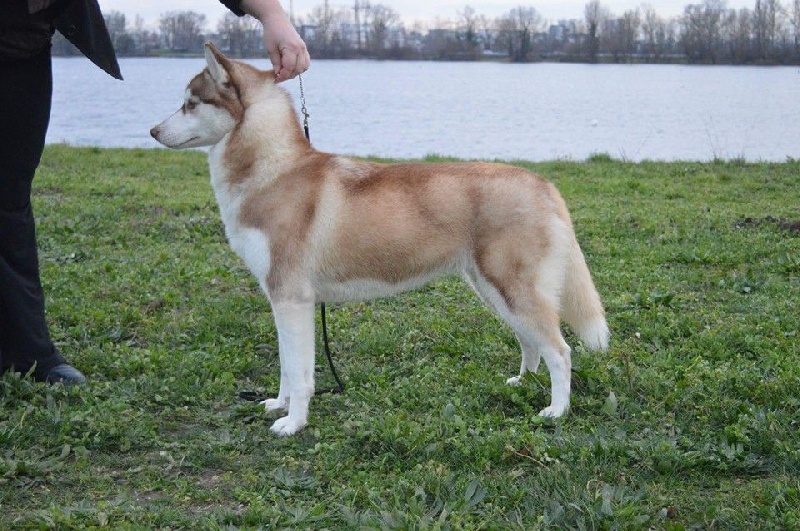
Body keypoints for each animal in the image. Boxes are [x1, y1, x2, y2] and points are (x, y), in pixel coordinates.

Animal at [150, 42, 610, 436]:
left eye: (190, 103)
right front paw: (279, 404)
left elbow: (299, 374)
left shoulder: (291, 298)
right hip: (495, 291)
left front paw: (293, 423)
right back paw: (522, 381)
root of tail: (543, 182)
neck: (272, 171)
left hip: (513, 289)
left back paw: (556, 410)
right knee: (531, 343)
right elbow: (285, 366)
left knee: (560, 350)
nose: (153, 131)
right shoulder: (281, 300)